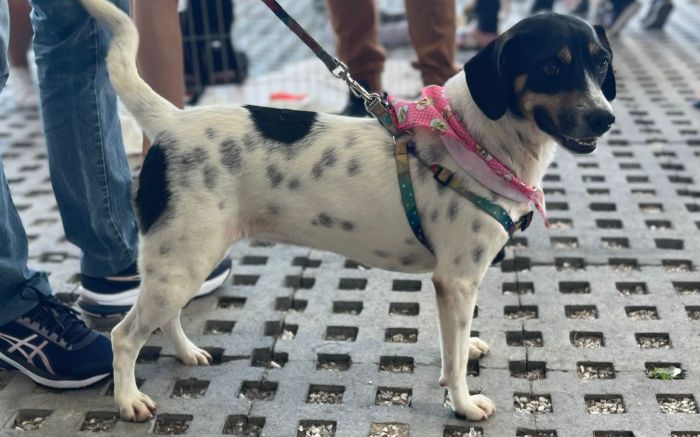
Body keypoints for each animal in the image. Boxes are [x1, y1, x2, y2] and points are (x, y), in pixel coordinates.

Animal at [78, 0, 612, 422]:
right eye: (551, 68)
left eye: (602, 63)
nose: (605, 118)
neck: (473, 136)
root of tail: (172, 121)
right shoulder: (457, 280)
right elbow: (455, 361)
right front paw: (463, 404)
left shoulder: (452, 284)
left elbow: (454, 346)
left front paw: (463, 354)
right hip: (183, 259)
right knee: (124, 336)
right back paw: (128, 400)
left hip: (184, 260)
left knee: (165, 317)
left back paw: (186, 352)